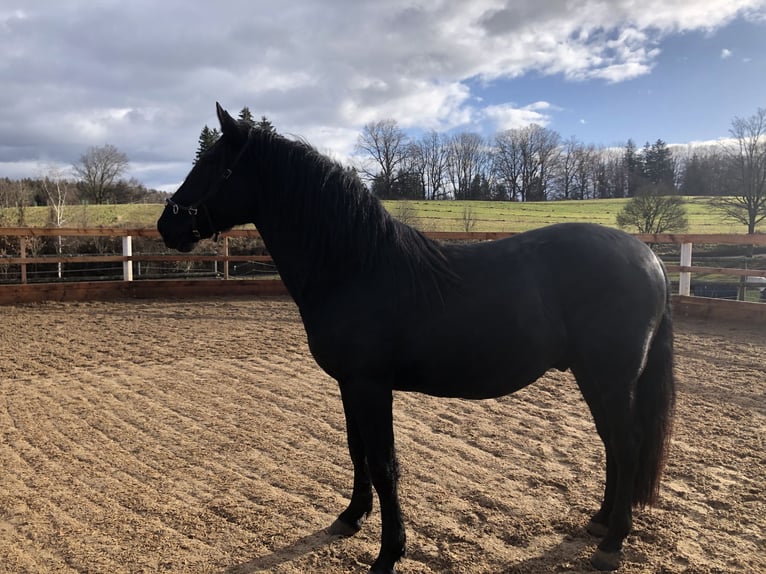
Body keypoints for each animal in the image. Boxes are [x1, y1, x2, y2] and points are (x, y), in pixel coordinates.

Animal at [159, 104, 676, 574]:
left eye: (211, 166)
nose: (167, 225)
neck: (355, 266)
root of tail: (649, 257)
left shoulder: (371, 386)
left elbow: (385, 464)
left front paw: (389, 554)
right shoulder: (349, 385)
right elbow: (357, 451)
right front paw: (350, 518)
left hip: (609, 377)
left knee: (626, 442)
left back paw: (612, 543)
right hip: (595, 376)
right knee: (612, 442)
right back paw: (599, 522)